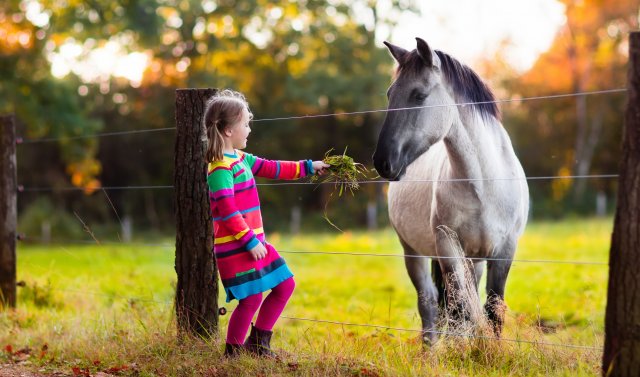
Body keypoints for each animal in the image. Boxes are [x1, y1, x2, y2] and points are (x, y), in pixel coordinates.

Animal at [372, 38, 528, 344]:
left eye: (419, 95)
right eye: (389, 94)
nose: (383, 162)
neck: (484, 186)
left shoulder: (504, 252)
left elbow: (492, 312)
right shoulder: (447, 249)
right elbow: (459, 311)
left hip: (473, 261)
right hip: (414, 253)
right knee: (429, 304)